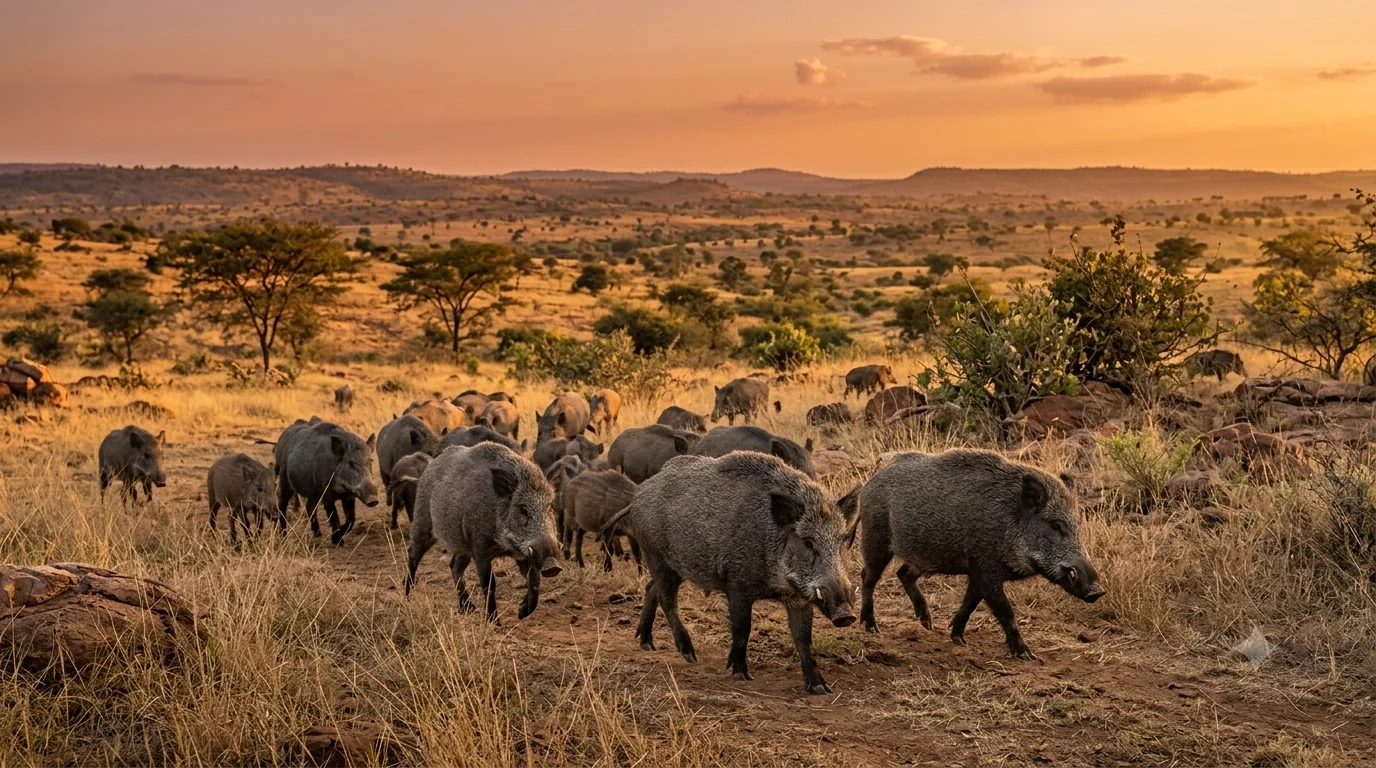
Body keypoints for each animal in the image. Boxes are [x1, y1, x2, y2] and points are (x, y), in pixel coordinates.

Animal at [405, 443, 562, 621]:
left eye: (550, 507)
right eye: (522, 509)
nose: (553, 566)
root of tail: (430, 465)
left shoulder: (524, 554)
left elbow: (534, 582)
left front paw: (521, 613)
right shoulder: (480, 547)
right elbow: (489, 583)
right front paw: (494, 622)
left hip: (462, 545)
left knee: (454, 565)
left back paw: (468, 608)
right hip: (422, 522)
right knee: (413, 555)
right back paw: (407, 597)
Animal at [603, 452, 856, 694]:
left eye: (844, 540)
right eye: (808, 542)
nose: (846, 615)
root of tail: (637, 496)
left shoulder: (797, 598)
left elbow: (804, 640)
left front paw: (820, 689)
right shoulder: (737, 584)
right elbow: (742, 629)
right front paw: (740, 675)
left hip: (674, 566)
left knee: (650, 589)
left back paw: (647, 644)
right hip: (657, 556)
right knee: (667, 600)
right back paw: (689, 655)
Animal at [841, 448, 1105, 660]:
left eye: (1077, 524)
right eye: (1056, 525)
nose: (1097, 591)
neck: (1009, 523)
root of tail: (871, 480)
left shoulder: (977, 572)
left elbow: (970, 603)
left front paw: (957, 638)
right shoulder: (986, 569)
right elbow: (1005, 611)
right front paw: (1027, 655)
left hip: (923, 555)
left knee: (903, 573)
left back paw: (927, 624)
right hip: (876, 539)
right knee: (868, 577)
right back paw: (872, 628)